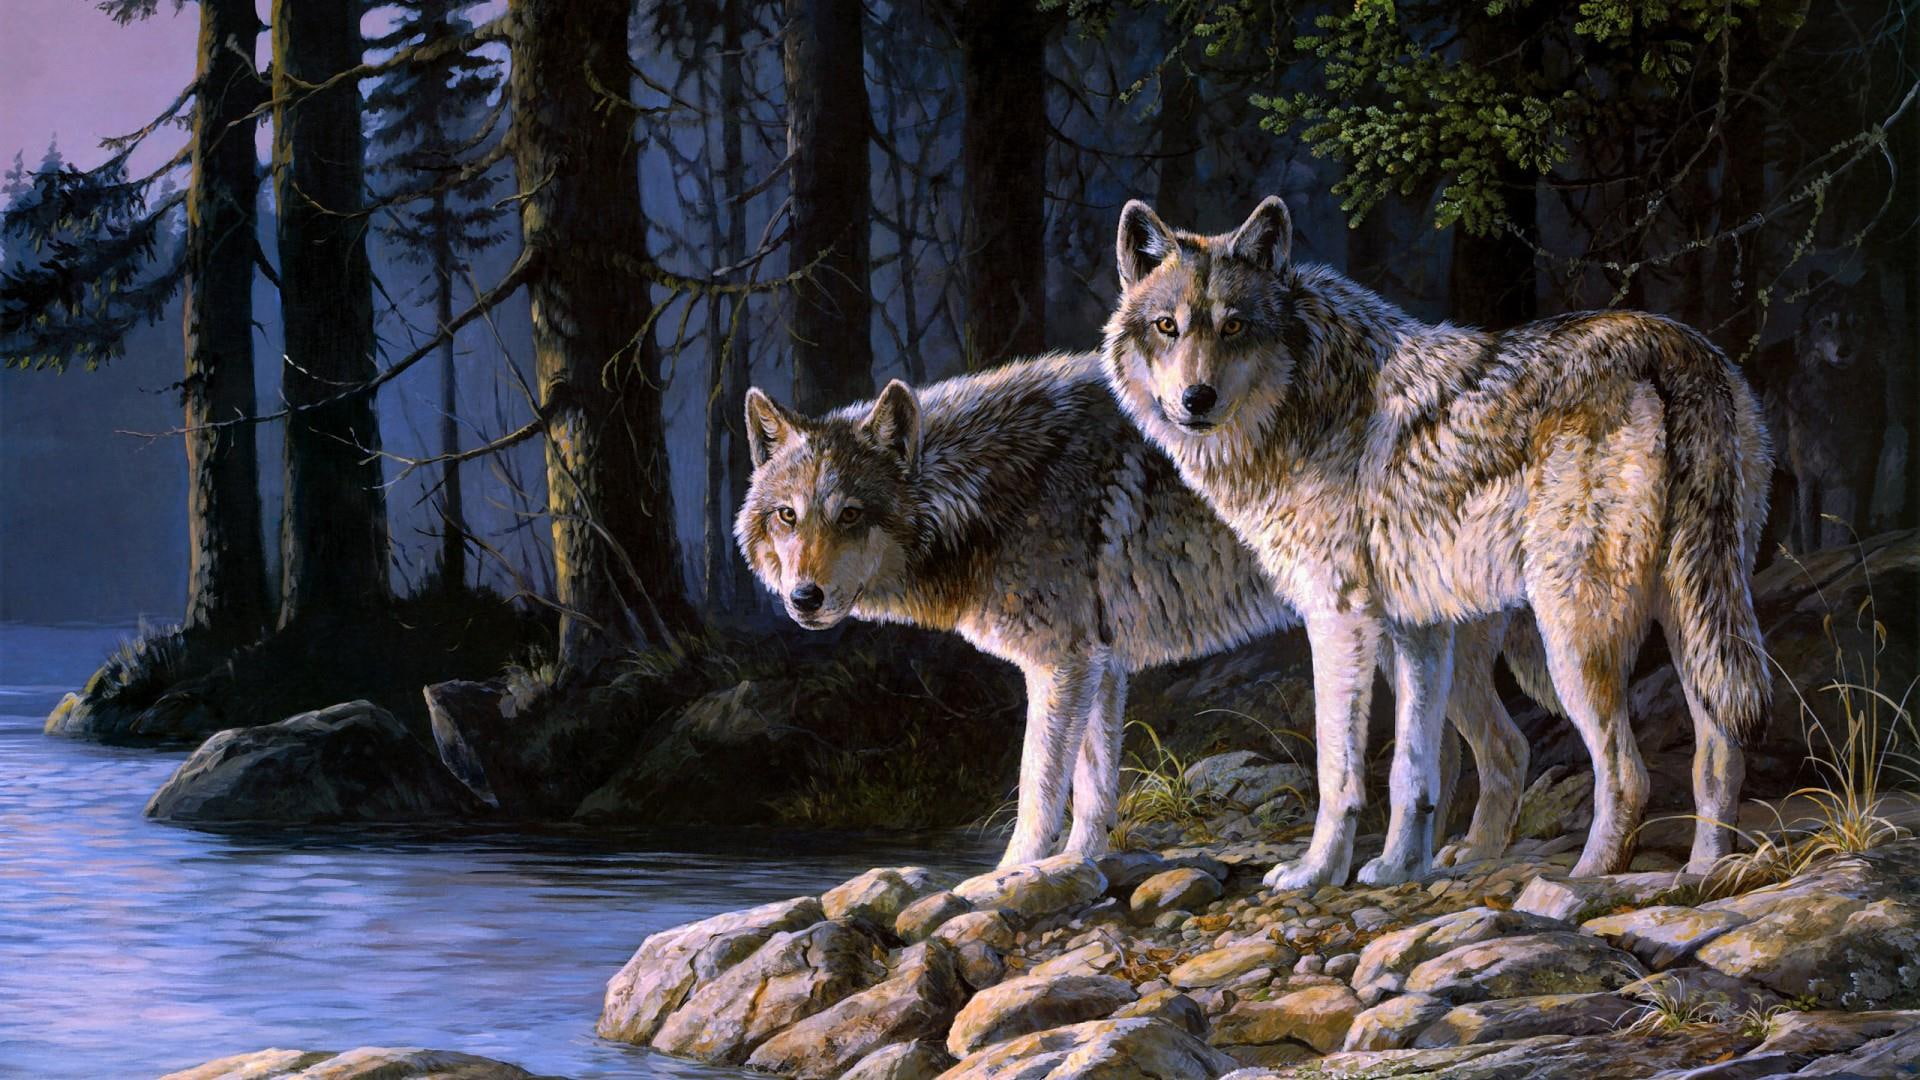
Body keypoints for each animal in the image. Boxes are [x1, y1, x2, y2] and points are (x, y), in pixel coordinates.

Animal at [736, 353, 1555, 869]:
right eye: (787, 516)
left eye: (850, 516)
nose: (803, 598)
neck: (986, 489)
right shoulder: (1099, 666)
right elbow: (1094, 789)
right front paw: (1074, 867)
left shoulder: (1059, 665)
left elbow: (1039, 789)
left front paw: (1000, 879)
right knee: (1480, 752)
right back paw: (1440, 863)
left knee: (1496, 749)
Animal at [1103, 196, 1773, 888]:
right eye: (1167, 326)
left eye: (1233, 326)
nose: (1196, 398)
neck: (1305, 397)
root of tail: (1674, 344)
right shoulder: (1415, 628)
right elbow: (1415, 768)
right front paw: (1398, 867)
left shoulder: (1338, 618)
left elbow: (1340, 770)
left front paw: (1316, 872)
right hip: (1684, 617)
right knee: (1703, 752)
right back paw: (1698, 872)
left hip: (1574, 633)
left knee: (1625, 770)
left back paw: (1583, 878)